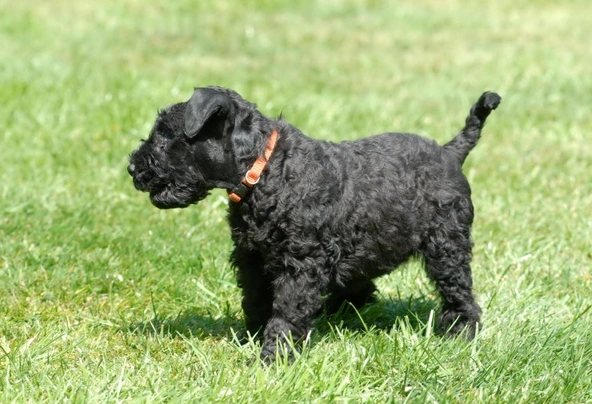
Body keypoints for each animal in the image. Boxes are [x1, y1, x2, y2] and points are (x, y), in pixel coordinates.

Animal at [128, 87, 500, 360]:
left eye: (164, 136)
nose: (132, 167)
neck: (265, 170)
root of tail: (450, 152)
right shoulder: (252, 258)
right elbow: (256, 301)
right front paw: (253, 338)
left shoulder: (300, 261)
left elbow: (286, 310)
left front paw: (273, 357)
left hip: (446, 245)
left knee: (460, 293)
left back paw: (460, 334)